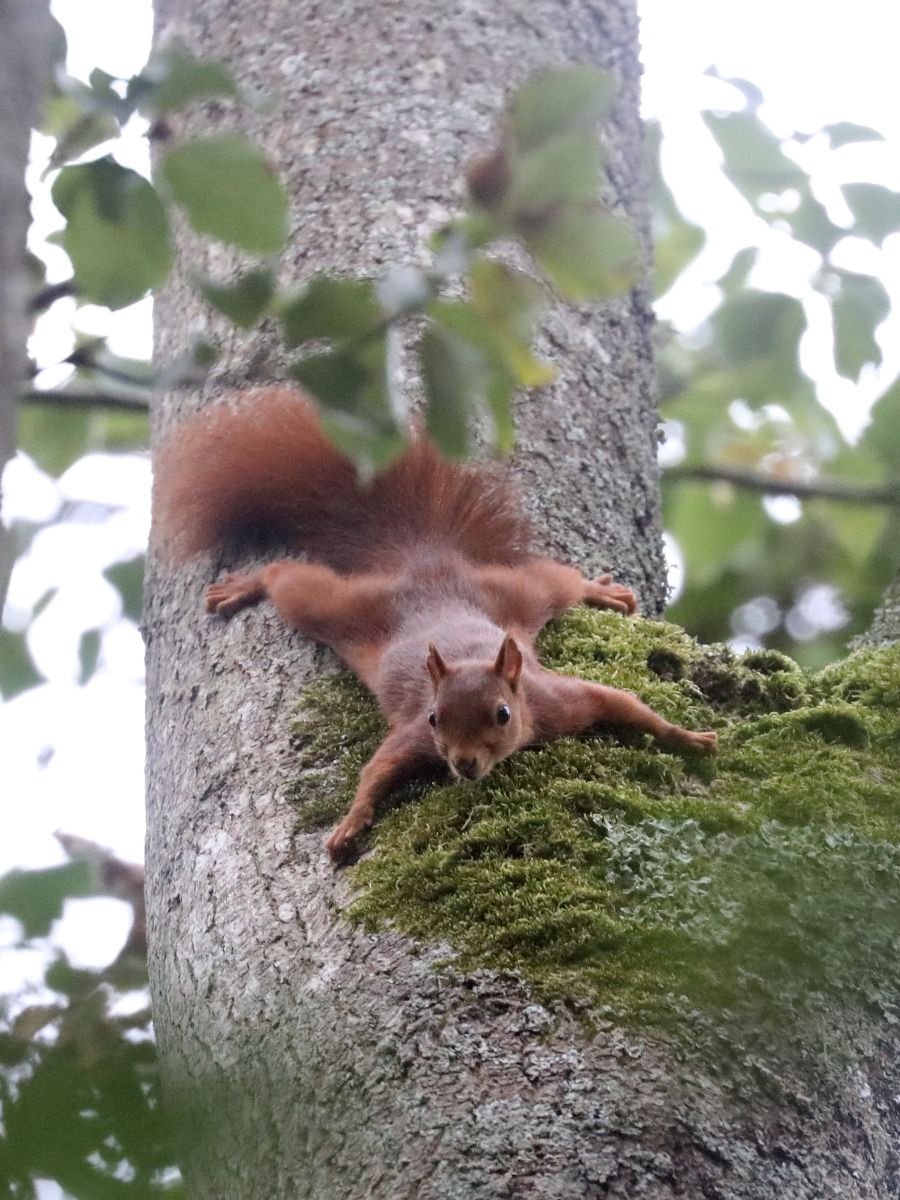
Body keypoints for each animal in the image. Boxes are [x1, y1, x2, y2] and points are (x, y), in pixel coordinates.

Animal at [154, 388, 720, 868]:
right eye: (433, 718)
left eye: (502, 714)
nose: (464, 764)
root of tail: (426, 559)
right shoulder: (414, 736)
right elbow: (377, 768)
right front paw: (352, 822)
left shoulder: (558, 700)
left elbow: (624, 703)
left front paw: (688, 737)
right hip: (347, 606)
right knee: (283, 577)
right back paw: (245, 585)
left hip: (511, 593)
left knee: (557, 581)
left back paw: (600, 591)